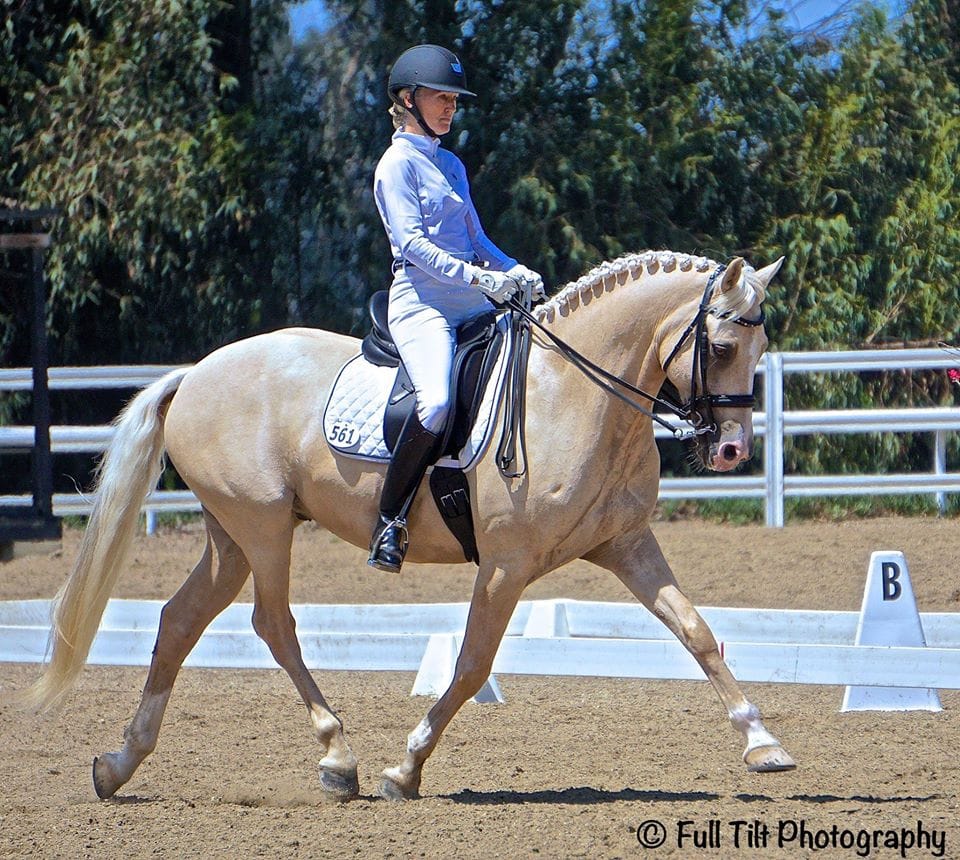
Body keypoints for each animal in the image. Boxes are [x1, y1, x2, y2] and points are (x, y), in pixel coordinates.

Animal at [23, 249, 792, 801]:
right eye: (724, 347)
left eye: (758, 352)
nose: (730, 450)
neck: (573, 395)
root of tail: (196, 372)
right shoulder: (507, 564)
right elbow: (471, 663)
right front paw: (405, 769)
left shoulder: (625, 544)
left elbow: (696, 631)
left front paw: (763, 744)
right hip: (263, 527)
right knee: (273, 624)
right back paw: (339, 760)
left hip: (231, 534)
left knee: (180, 621)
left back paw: (118, 765)